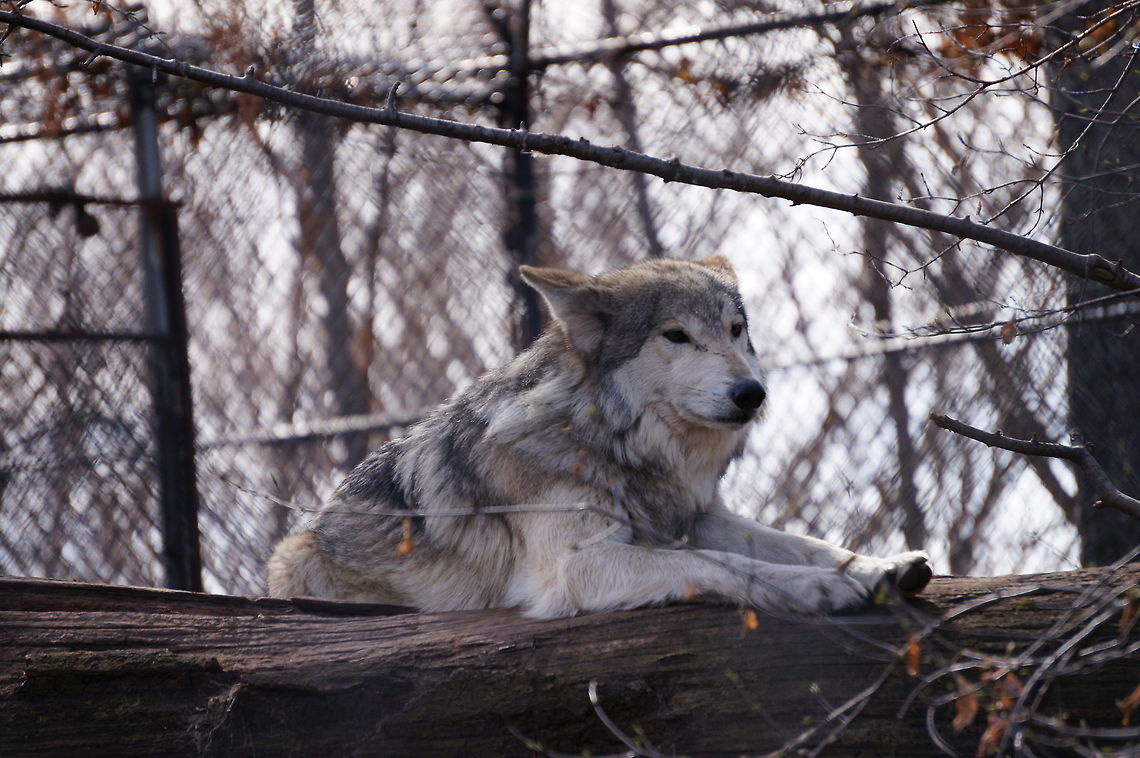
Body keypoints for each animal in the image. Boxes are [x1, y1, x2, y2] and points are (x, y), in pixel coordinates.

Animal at [267, 256, 931, 618]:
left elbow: (799, 543)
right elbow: (719, 562)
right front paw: (823, 588)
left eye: (735, 330)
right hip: (293, 559)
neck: (611, 443)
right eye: (676, 336)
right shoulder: (574, 566)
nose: (752, 393)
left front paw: (879, 567)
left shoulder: (700, 515)